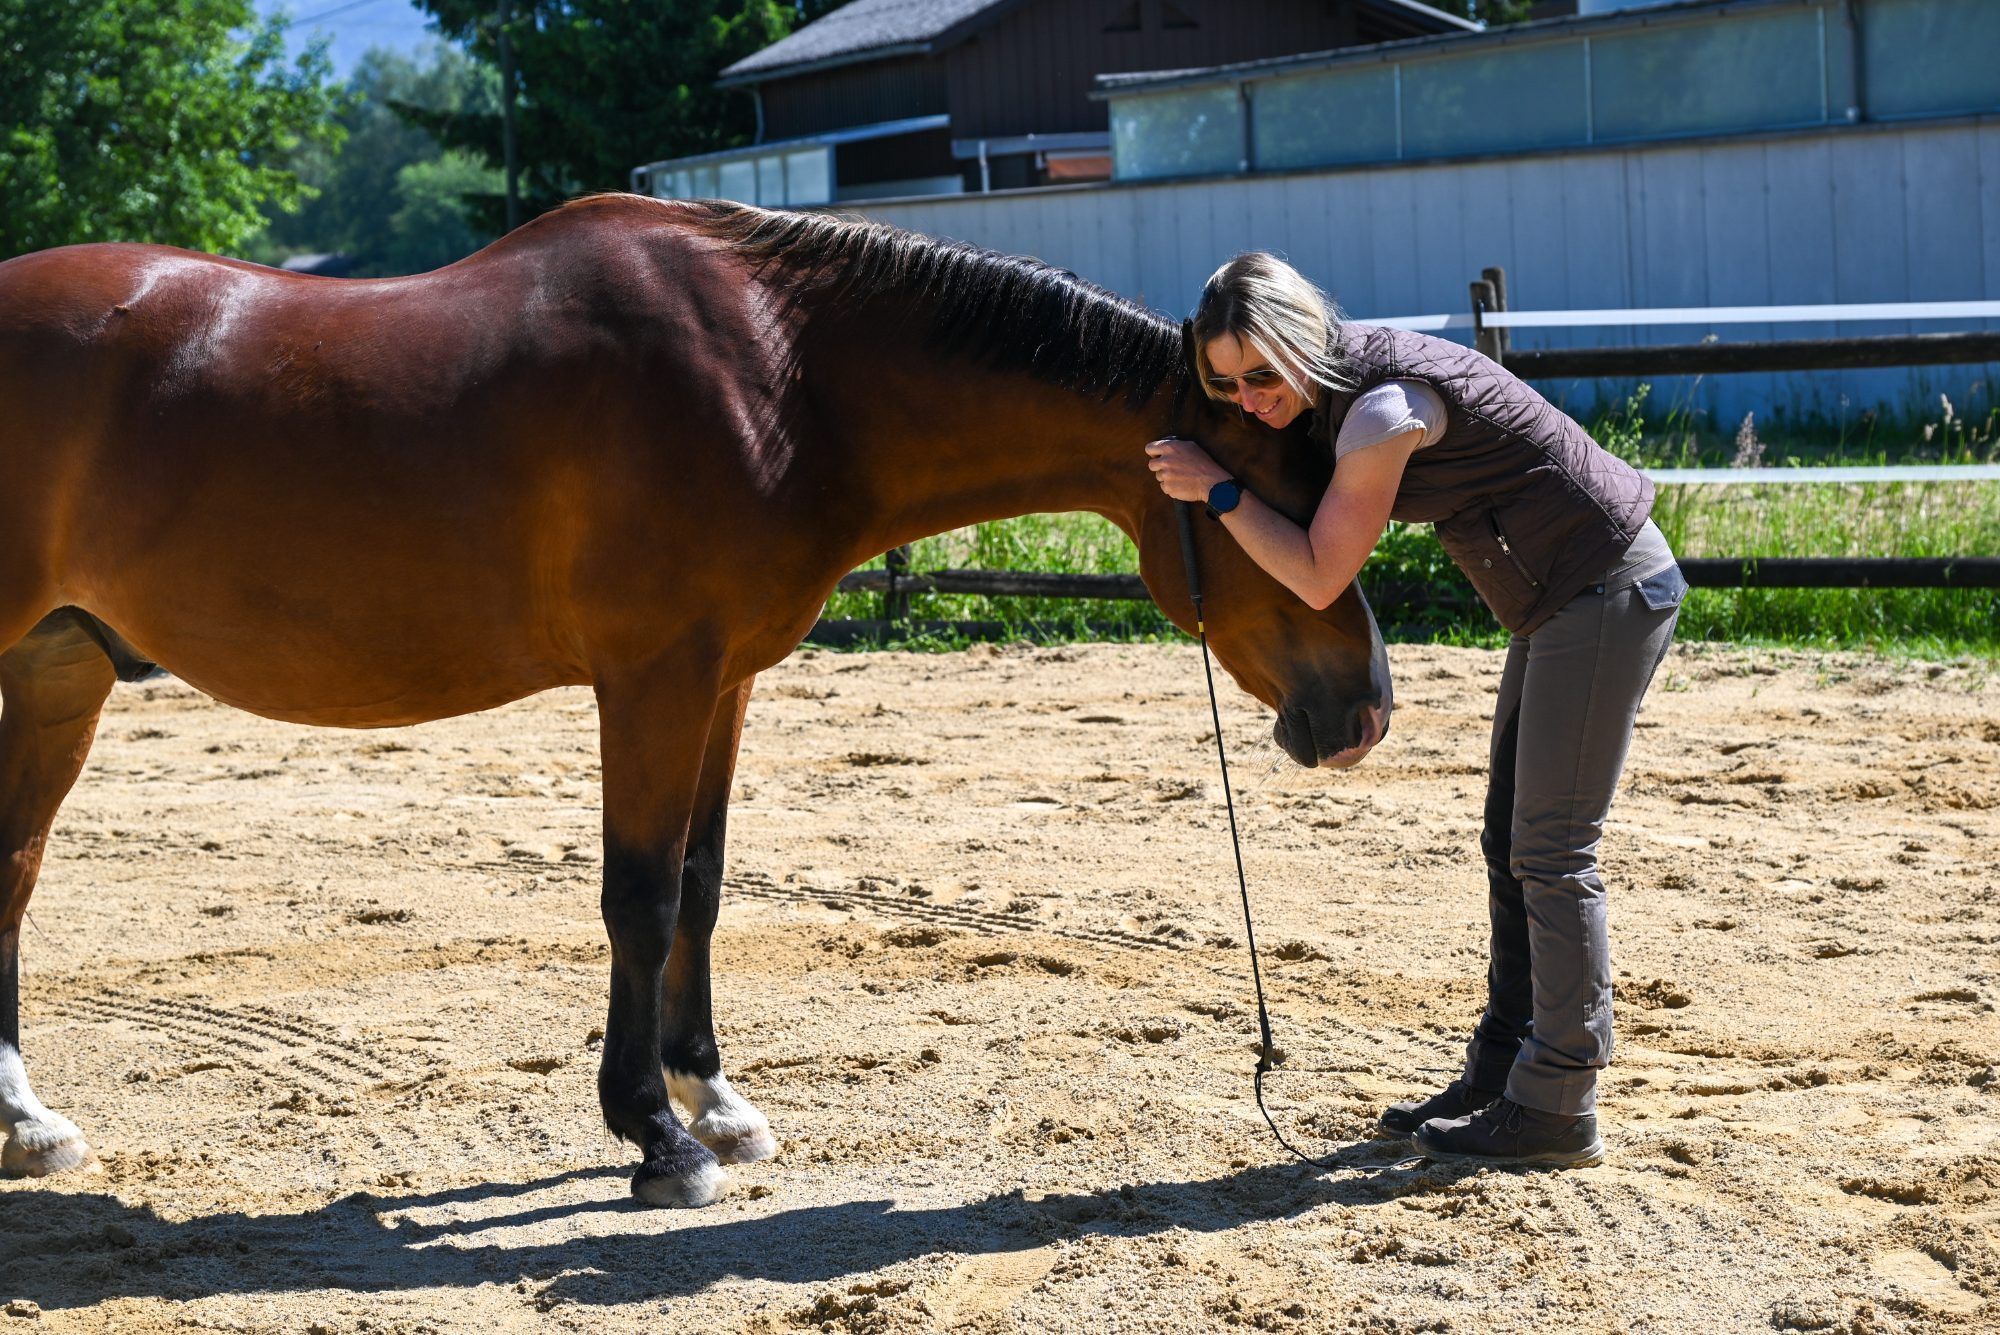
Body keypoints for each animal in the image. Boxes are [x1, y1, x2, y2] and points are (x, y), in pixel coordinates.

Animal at [0, 195, 1392, 1206]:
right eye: (1273, 495)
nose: (1364, 710)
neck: (778, 378)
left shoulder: (723, 682)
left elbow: (703, 884)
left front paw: (714, 1104)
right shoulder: (652, 680)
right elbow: (640, 895)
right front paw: (654, 1138)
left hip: (59, 670)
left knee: (10, 874)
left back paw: (27, 1125)